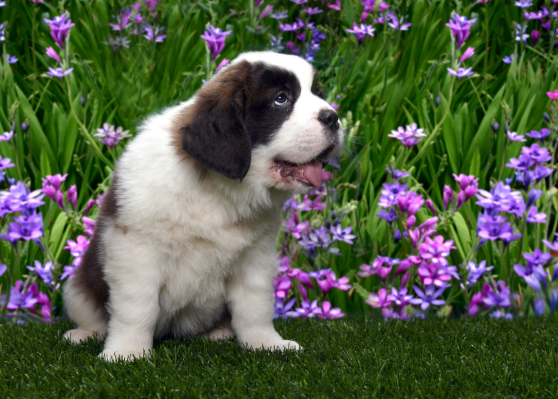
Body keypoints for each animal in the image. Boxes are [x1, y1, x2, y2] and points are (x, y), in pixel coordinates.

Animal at [64, 50, 346, 362]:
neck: (219, 189)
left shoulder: (256, 257)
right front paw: (127, 351)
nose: (333, 117)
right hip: (77, 288)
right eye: (281, 99)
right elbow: (137, 306)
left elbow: (255, 306)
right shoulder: (136, 251)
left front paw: (266, 343)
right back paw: (83, 334)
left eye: (317, 93)